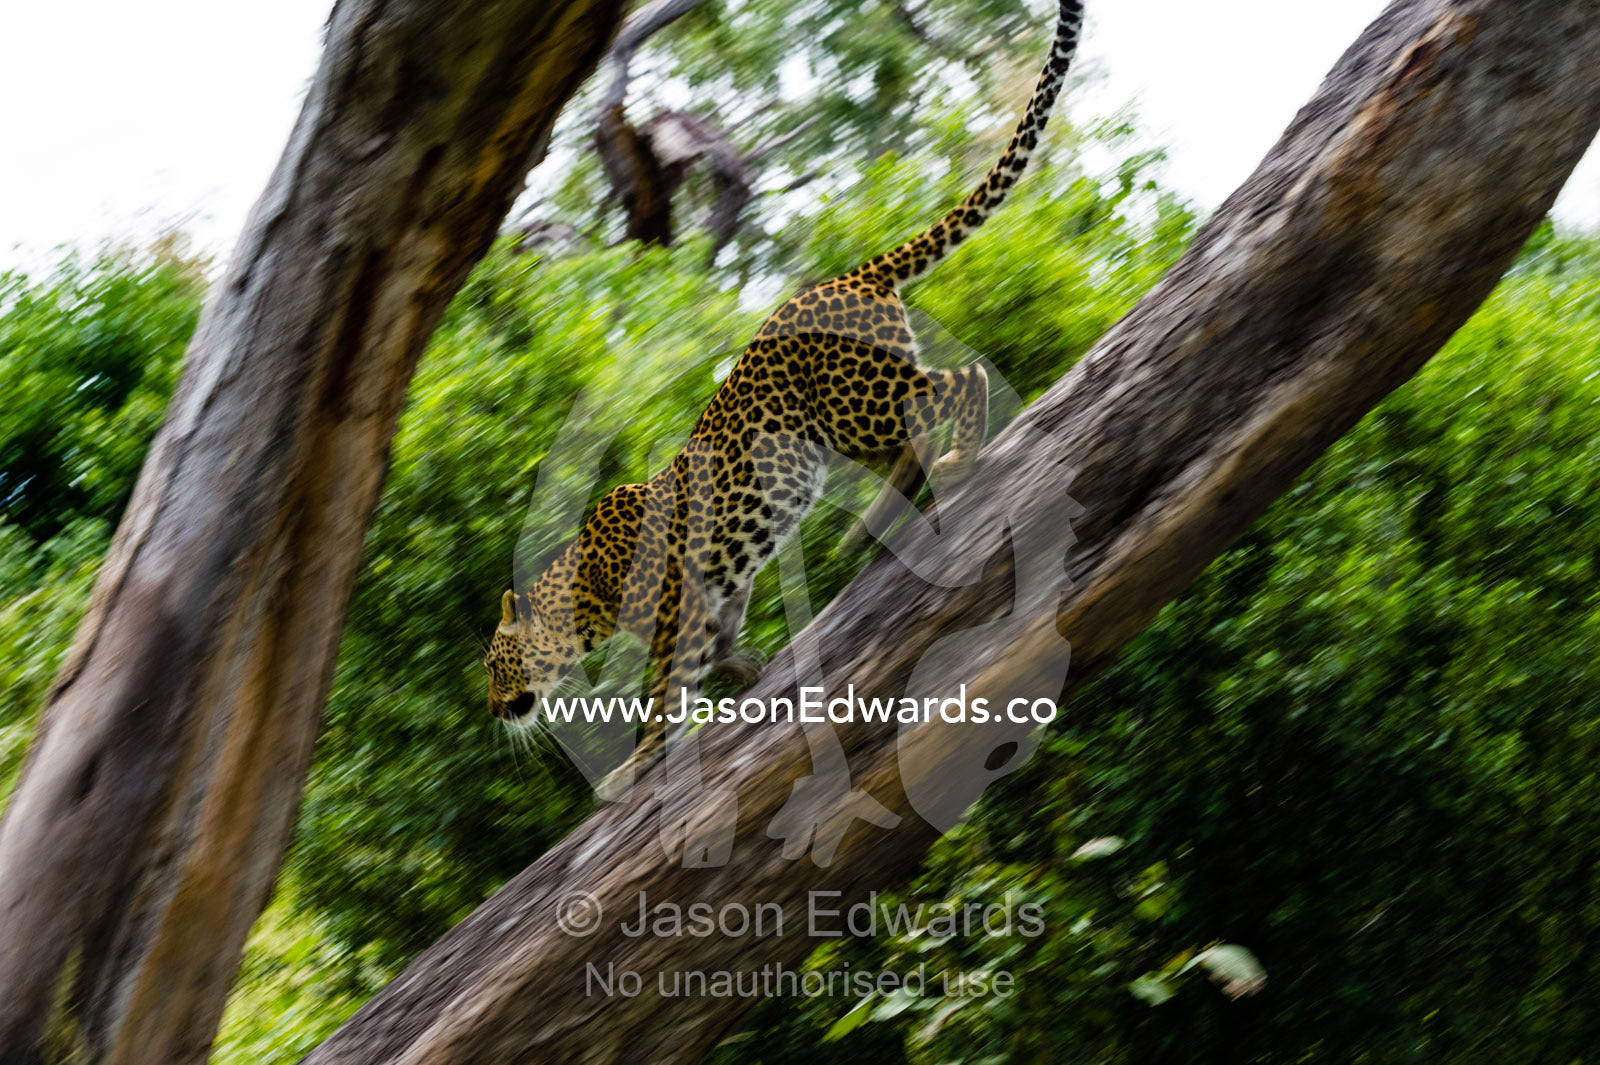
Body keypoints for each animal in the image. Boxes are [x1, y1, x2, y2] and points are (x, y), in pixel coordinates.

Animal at [486, 0, 1085, 798]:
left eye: (497, 666)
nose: (495, 710)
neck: (581, 596)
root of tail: (851, 275)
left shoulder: (673, 609)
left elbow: (660, 695)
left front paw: (630, 771)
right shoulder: (713, 594)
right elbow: (712, 653)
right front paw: (745, 668)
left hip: (857, 400)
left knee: (961, 384)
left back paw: (958, 460)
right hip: (836, 427)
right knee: (908, 445)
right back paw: (872, 527)